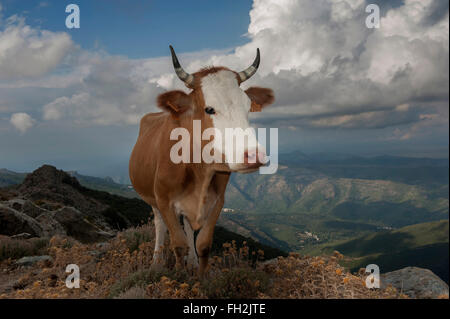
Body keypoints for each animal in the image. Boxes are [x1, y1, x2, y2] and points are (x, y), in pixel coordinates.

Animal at [128, 45, 272, 278]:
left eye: (248, 106)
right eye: (209, 109)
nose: (253, 156)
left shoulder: (218, 200)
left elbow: (203, 243)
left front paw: (202, 276)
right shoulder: (163, 199)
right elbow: (178, 244)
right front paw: (178, 274)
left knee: (188, 225)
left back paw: (193, 262)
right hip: (151, 197)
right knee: (159, 225)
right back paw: (157, 262)